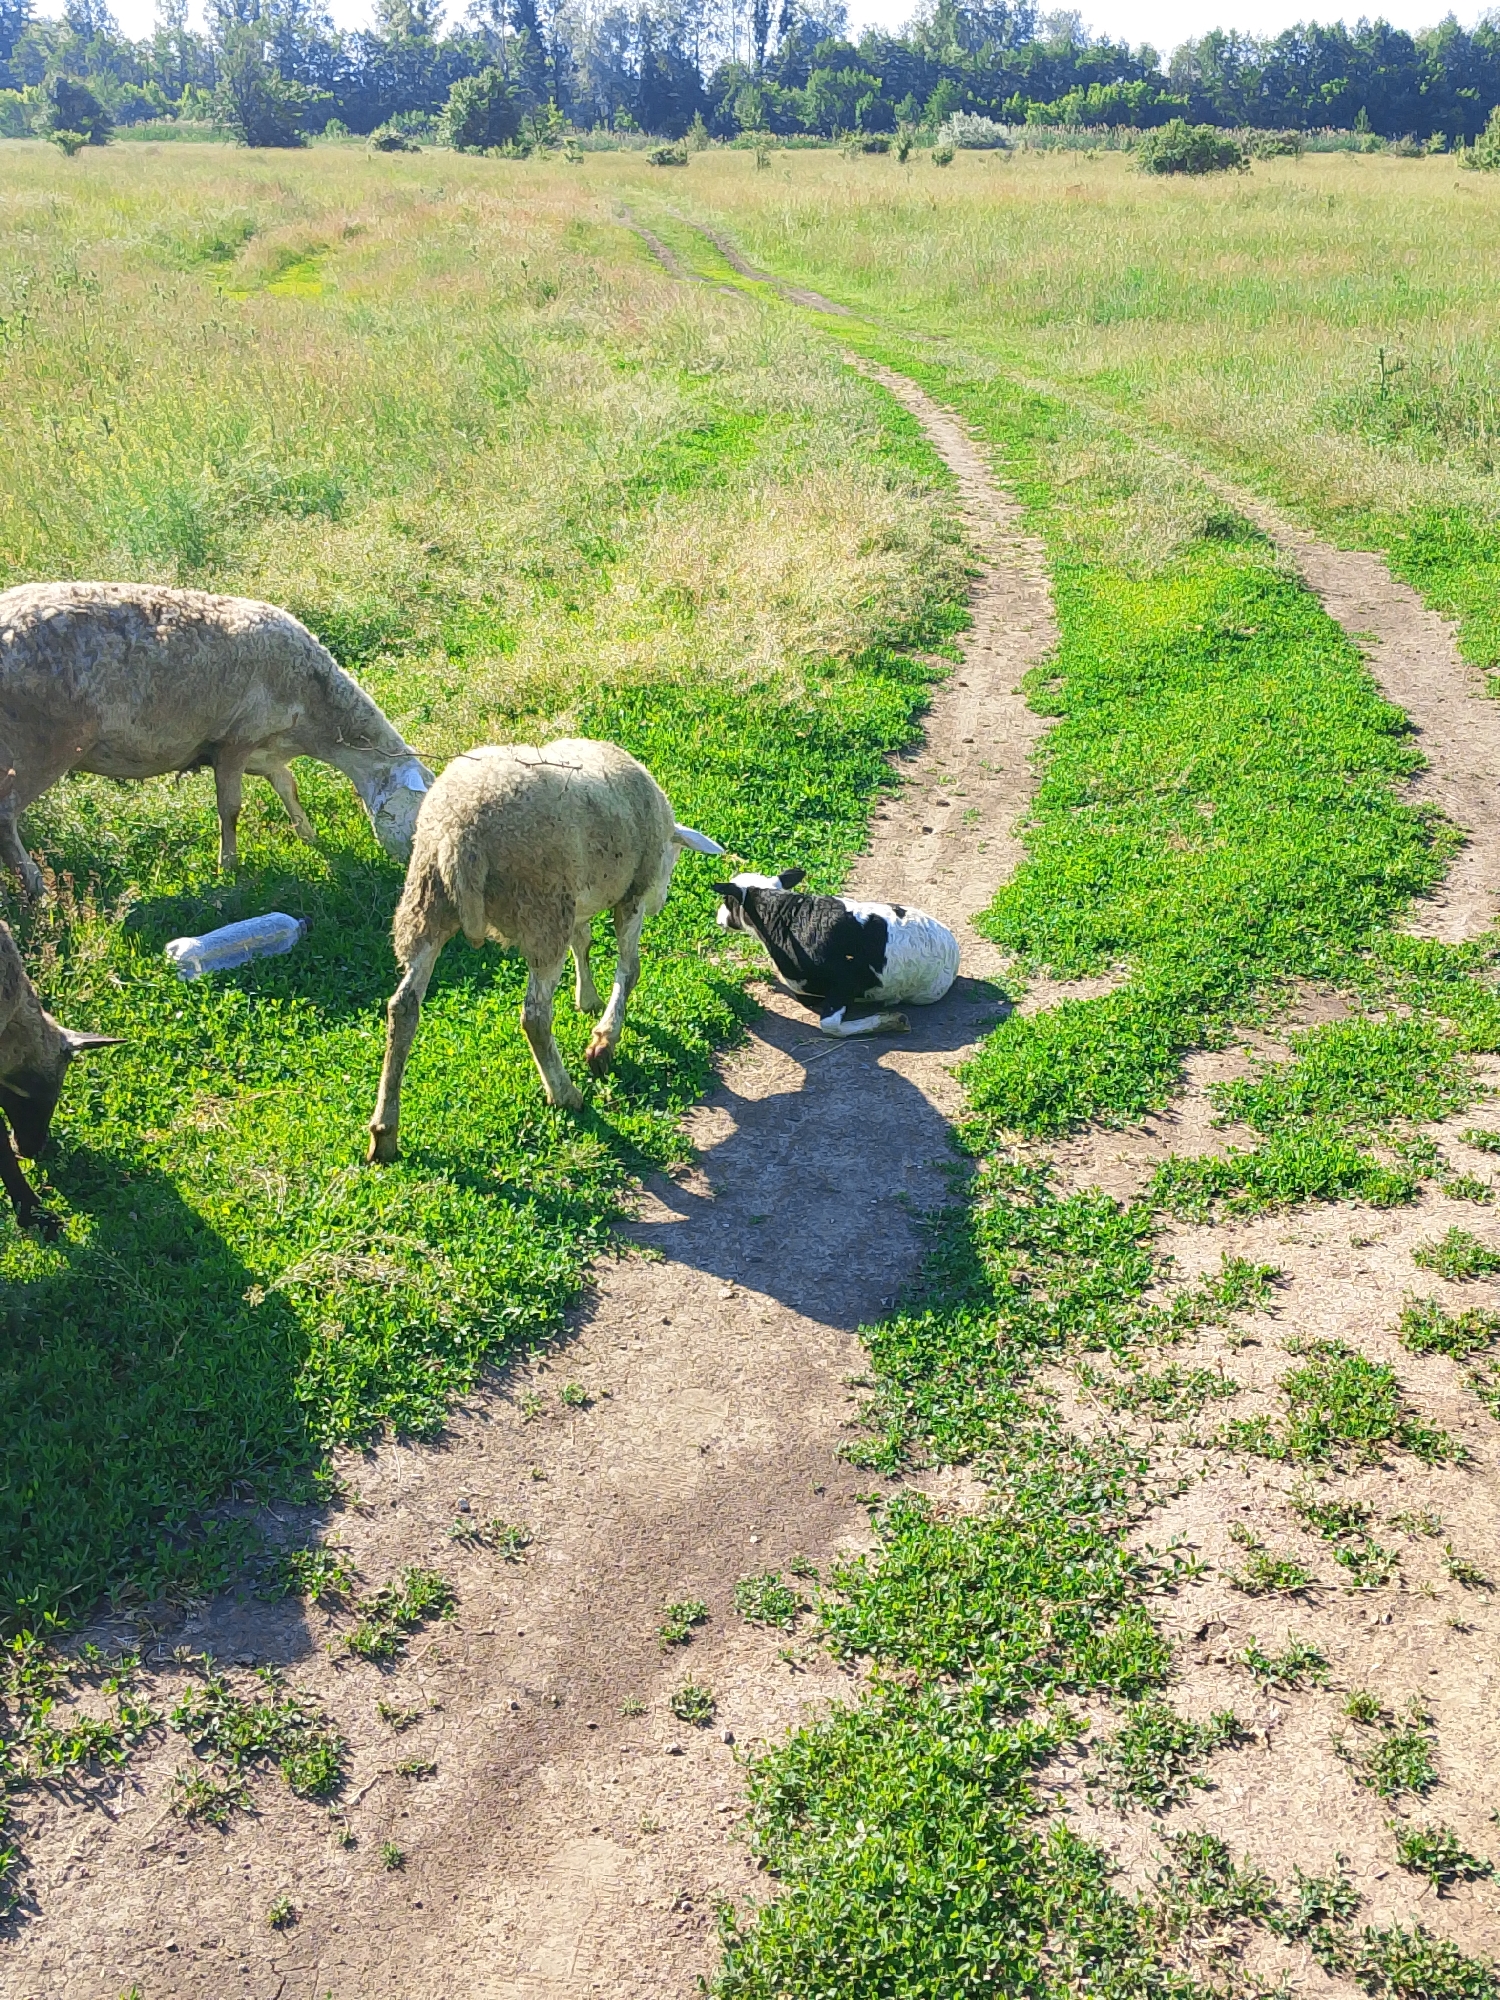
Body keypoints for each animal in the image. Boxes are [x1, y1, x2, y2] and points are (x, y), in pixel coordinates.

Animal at [0, 582, 434, 896]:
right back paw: (39, 890)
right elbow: (231, 808)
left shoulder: (265, 748)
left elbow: (288, 786)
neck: (314, 705)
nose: (419, 875)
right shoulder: (235, 741)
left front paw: (308, 836)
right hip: (40, 744)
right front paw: (229, 866)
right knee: (6, 816)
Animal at [367, 739, 723, 1161]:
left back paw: (384, 1132)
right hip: (540, 904)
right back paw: (565, 1093)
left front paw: (587, 998)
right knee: (535, 1016)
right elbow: (629, 968)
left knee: (403, 1007)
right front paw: (604, 1040)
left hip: (428, 901)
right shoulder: (631, 893)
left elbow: (583, 942)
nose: (662, 901)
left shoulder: (576, 903)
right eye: (674, 857)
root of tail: (457, 835)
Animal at [713, 867, 961, 1035]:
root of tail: (953, 949)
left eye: (726, 899)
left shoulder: (844, 982)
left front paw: (890, 1021)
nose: (718, 918)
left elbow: (830, 1025)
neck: (786, 915)